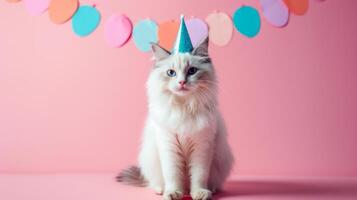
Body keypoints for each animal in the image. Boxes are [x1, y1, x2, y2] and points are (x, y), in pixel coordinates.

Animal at [117, 37, 234, 200]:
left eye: (192, 71)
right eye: (171, 73)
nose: (182, 82)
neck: (184, 108)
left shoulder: (201, 147)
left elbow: (199, 175)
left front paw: (199, 193)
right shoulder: (169, 145)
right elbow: (173, 175)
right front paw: (173, 193)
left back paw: (209, 190)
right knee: (154, 182)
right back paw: (162, 190)